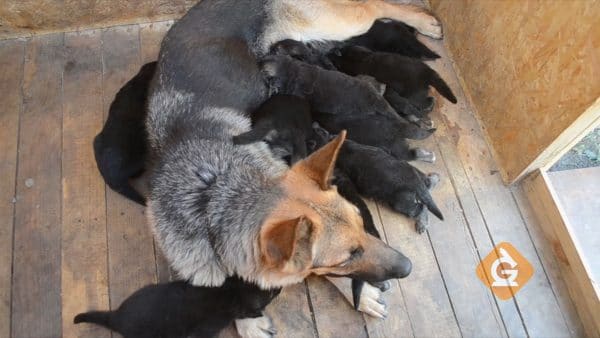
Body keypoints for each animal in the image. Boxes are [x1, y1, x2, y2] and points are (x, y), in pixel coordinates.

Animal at [312, 123, 442, 232]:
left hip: (401, 203)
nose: (314, 124)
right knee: (427, 182)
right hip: (412, 171)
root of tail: (414, 182)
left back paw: (422, 223)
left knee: (421, 207)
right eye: (319, 130)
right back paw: (434, 178)